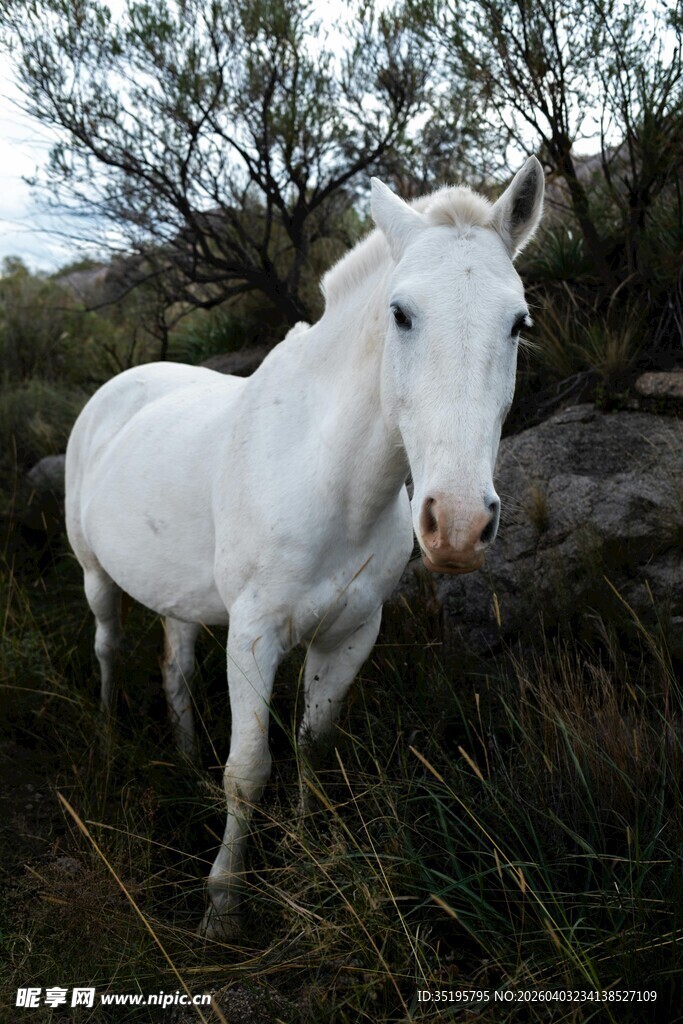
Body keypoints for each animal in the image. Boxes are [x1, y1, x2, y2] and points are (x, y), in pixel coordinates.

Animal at [65, 157, 544, 938]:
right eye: (400, 313)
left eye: (518, 322)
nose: (458, 525)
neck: (331, 481)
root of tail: (121, 385)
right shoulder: (254, 634)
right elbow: (249, 770)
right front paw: (223, 910)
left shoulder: (351, 632)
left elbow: (312, 744)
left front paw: (308, 846)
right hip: (93, 573)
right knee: (108, 645)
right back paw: (108, 738)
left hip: (179, 595)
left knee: (175, 667)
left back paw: (183, 757)